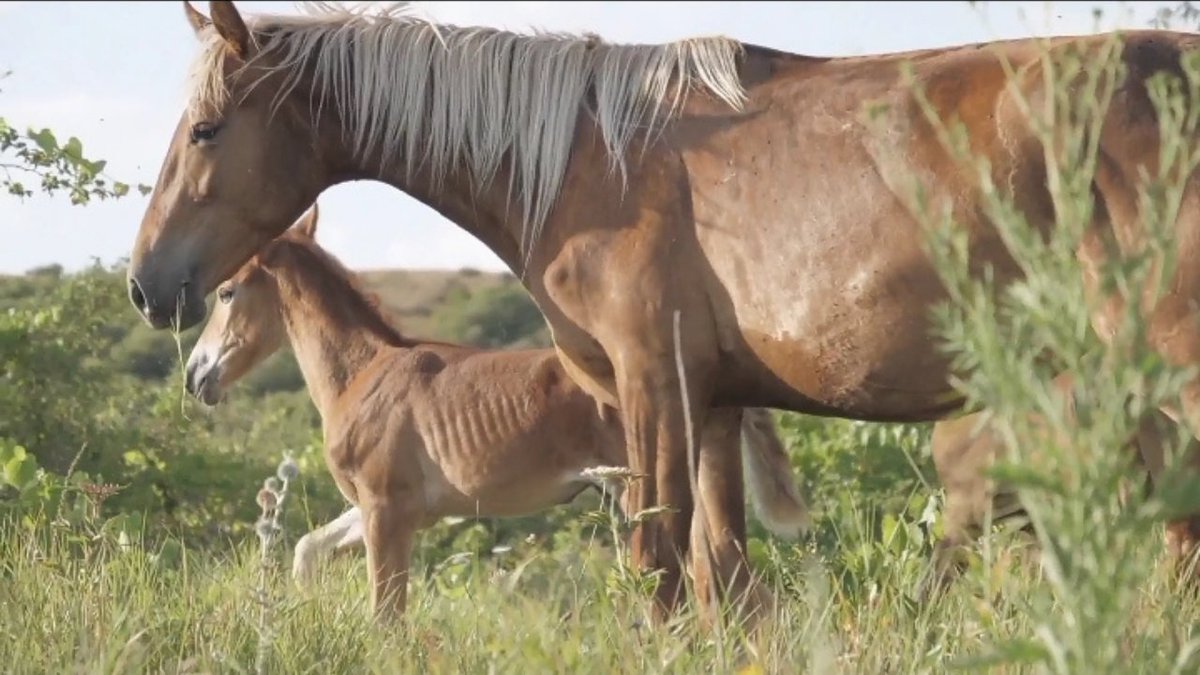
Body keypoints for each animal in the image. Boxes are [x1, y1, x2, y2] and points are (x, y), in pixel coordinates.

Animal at [183, 204, 810, 621]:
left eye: (227, 291)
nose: (195, 374)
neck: (363, 371)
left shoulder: (387, 510)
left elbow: (386, 615)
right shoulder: (385, 510)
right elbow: (306, 548)